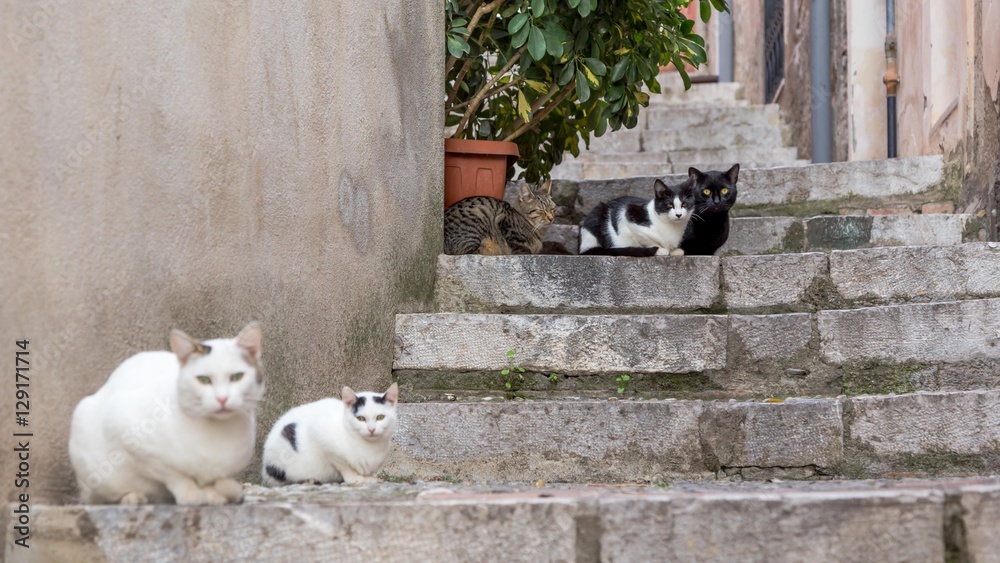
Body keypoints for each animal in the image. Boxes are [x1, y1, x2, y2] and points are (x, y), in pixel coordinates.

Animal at [70, 324, 266, 504]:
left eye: (236, 377)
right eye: (203, 379)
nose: (222, 399)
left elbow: (213, 482)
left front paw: (214, 495)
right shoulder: (130, 436)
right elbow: (175, 475)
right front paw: (191, 495)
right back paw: (133, 497)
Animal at [264, 386, 400, 486]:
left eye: (380, 417)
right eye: (361, 418)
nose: (371, 429)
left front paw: (368, 478)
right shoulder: (321, 434)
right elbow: (343, 464)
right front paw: (354, 478)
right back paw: (308, 481)